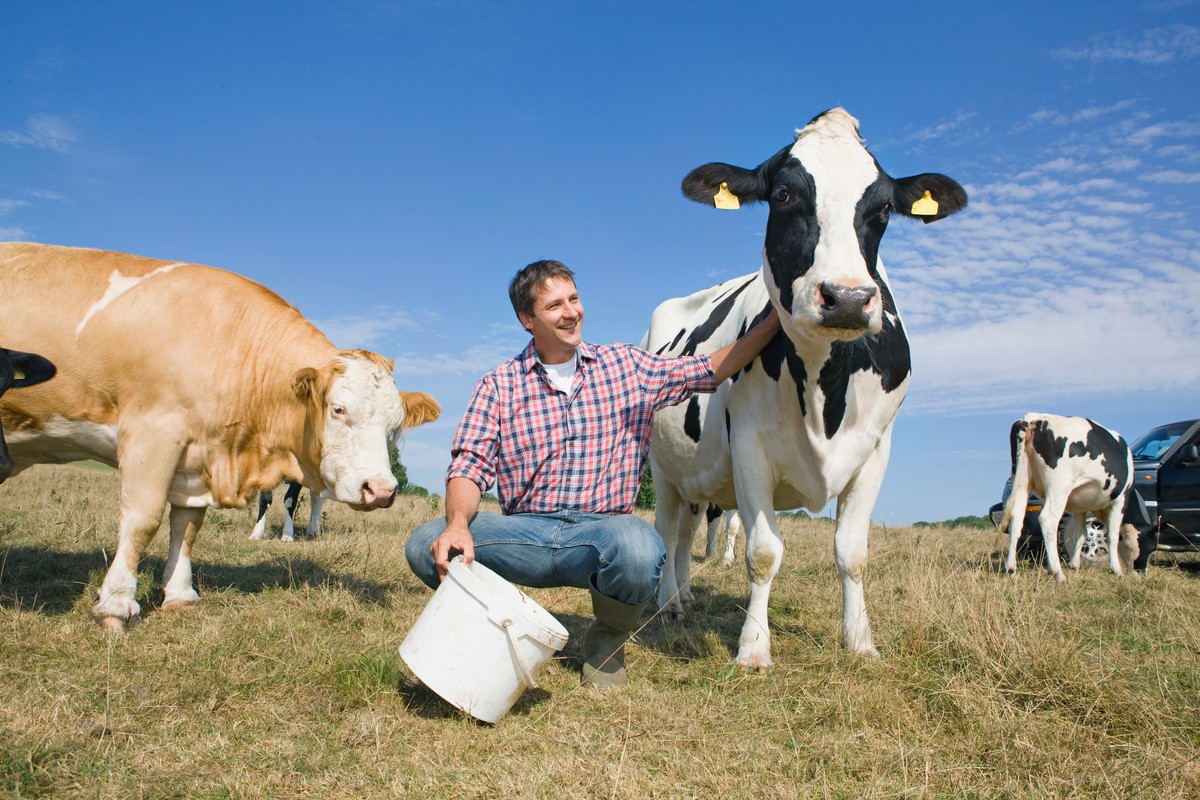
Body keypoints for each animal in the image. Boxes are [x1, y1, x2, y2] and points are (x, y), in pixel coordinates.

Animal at [648, 107, 964, 671]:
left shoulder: (876, 450)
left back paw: (684, 598)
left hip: (696, 478)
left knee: (684, 534)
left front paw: (860, 641)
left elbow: (853, 554)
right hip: (662, 468)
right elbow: (763, 553)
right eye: (783, 195)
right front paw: (754, 649)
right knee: (666, 530)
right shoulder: (749, 446)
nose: (848, 297)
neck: (823, 389)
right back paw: (668, 604)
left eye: (883, 208)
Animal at [998, 412, 1137, 582]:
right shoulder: (1121, 500)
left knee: (1016, 518)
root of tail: (1032, 419)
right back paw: (1057, 572)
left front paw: (1074, 565)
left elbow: (1081, 534)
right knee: (1048, 520)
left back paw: (1011, 569)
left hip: (1022, 480)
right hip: (1059, 487)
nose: (1136, 567)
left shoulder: (1080, 507)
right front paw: (1116, 569)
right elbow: (1112, 535)